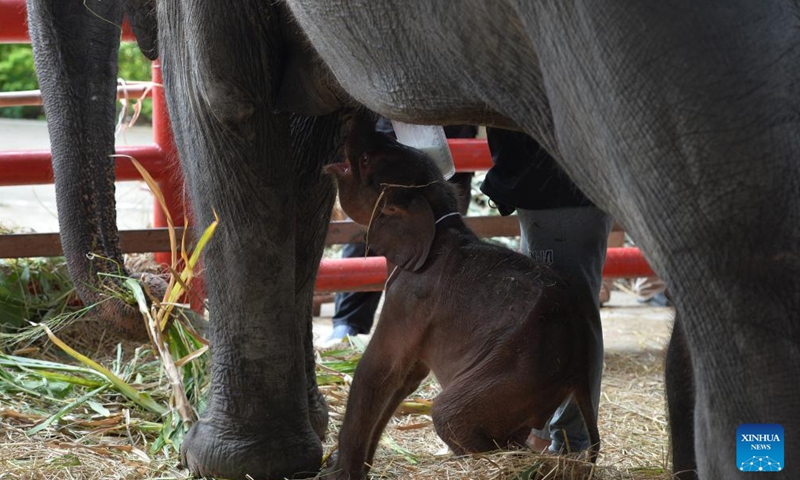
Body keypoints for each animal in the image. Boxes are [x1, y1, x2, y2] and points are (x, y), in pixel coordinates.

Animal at [326, 120, 600, 479]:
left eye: (366, 159)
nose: (359, 120)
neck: (436, 216)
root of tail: (579, 362)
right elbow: (406, 378)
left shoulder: (410, 298)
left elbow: (378, 369)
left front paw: (338, 472)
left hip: (514, 372)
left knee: (448, 416)